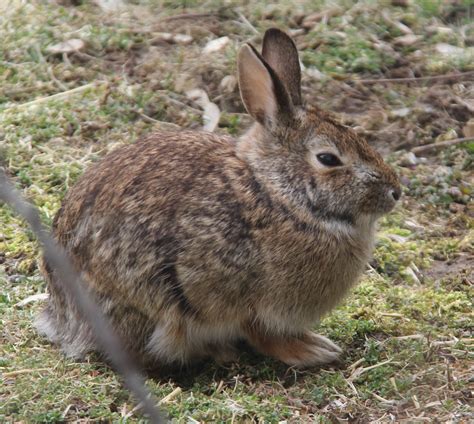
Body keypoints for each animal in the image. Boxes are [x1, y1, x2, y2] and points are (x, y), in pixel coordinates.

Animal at [37, 29, 400, 368]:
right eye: (327, 159)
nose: (395, 192)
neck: (277, 195)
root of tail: (63, 318)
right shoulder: (237, 296)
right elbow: (262, 333)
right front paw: (313, 350)